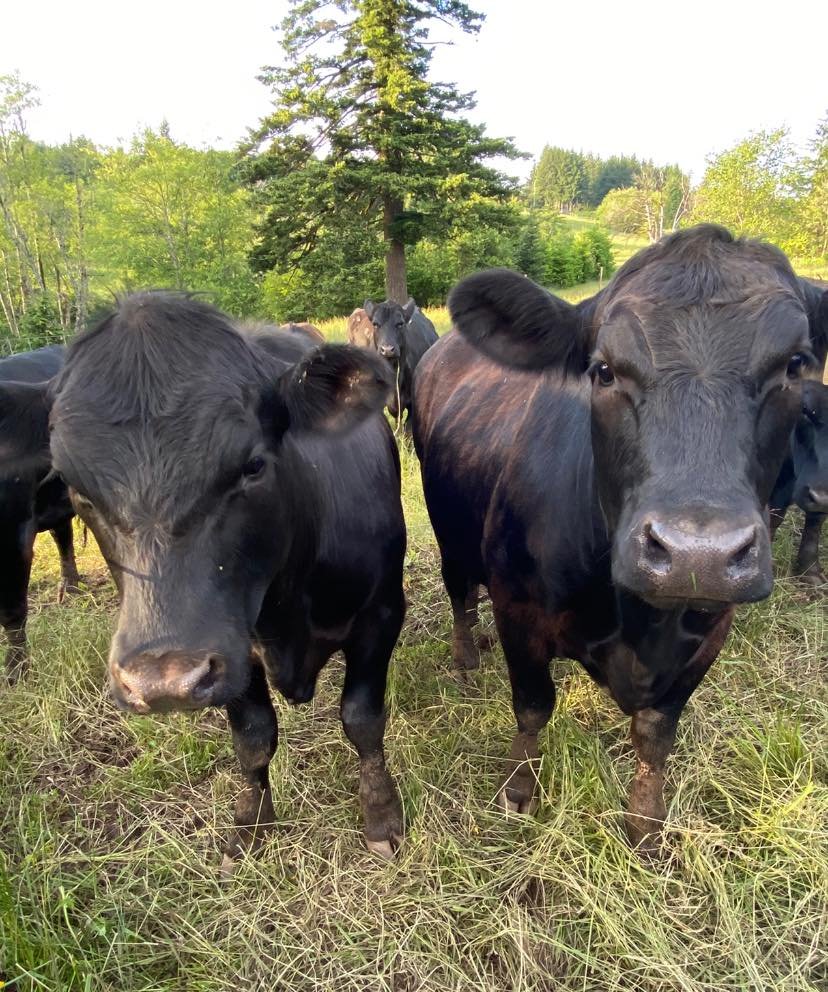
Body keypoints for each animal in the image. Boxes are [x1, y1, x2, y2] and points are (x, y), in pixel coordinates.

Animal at [11, 293, 406, 862]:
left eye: (253, 464)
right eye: (71, 485)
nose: (161, 683)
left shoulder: (381, 613)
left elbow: (362, 719)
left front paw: (380, 816)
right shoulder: (231, 648)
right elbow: (254, 736)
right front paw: (251, 822)